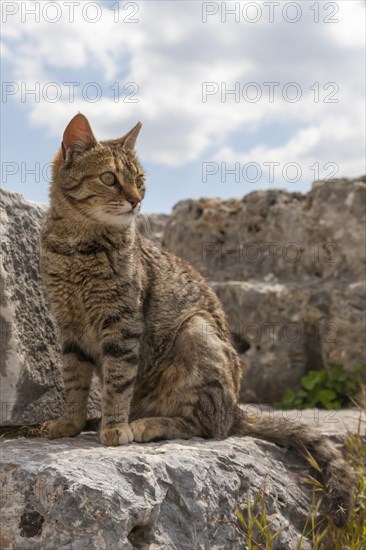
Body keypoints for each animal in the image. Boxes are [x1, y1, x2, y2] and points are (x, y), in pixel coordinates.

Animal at [40, 113, 354, 532]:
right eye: (109, 178)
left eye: (139, 179)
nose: (136, 200)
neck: (76, 247)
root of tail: (237, 407)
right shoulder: (70, 329)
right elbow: (74, 383)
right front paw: (71, 422)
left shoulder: (122, 326)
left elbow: (118, 383)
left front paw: (114, 426)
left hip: (197, 330)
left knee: (208, 426)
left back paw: (146, 424)